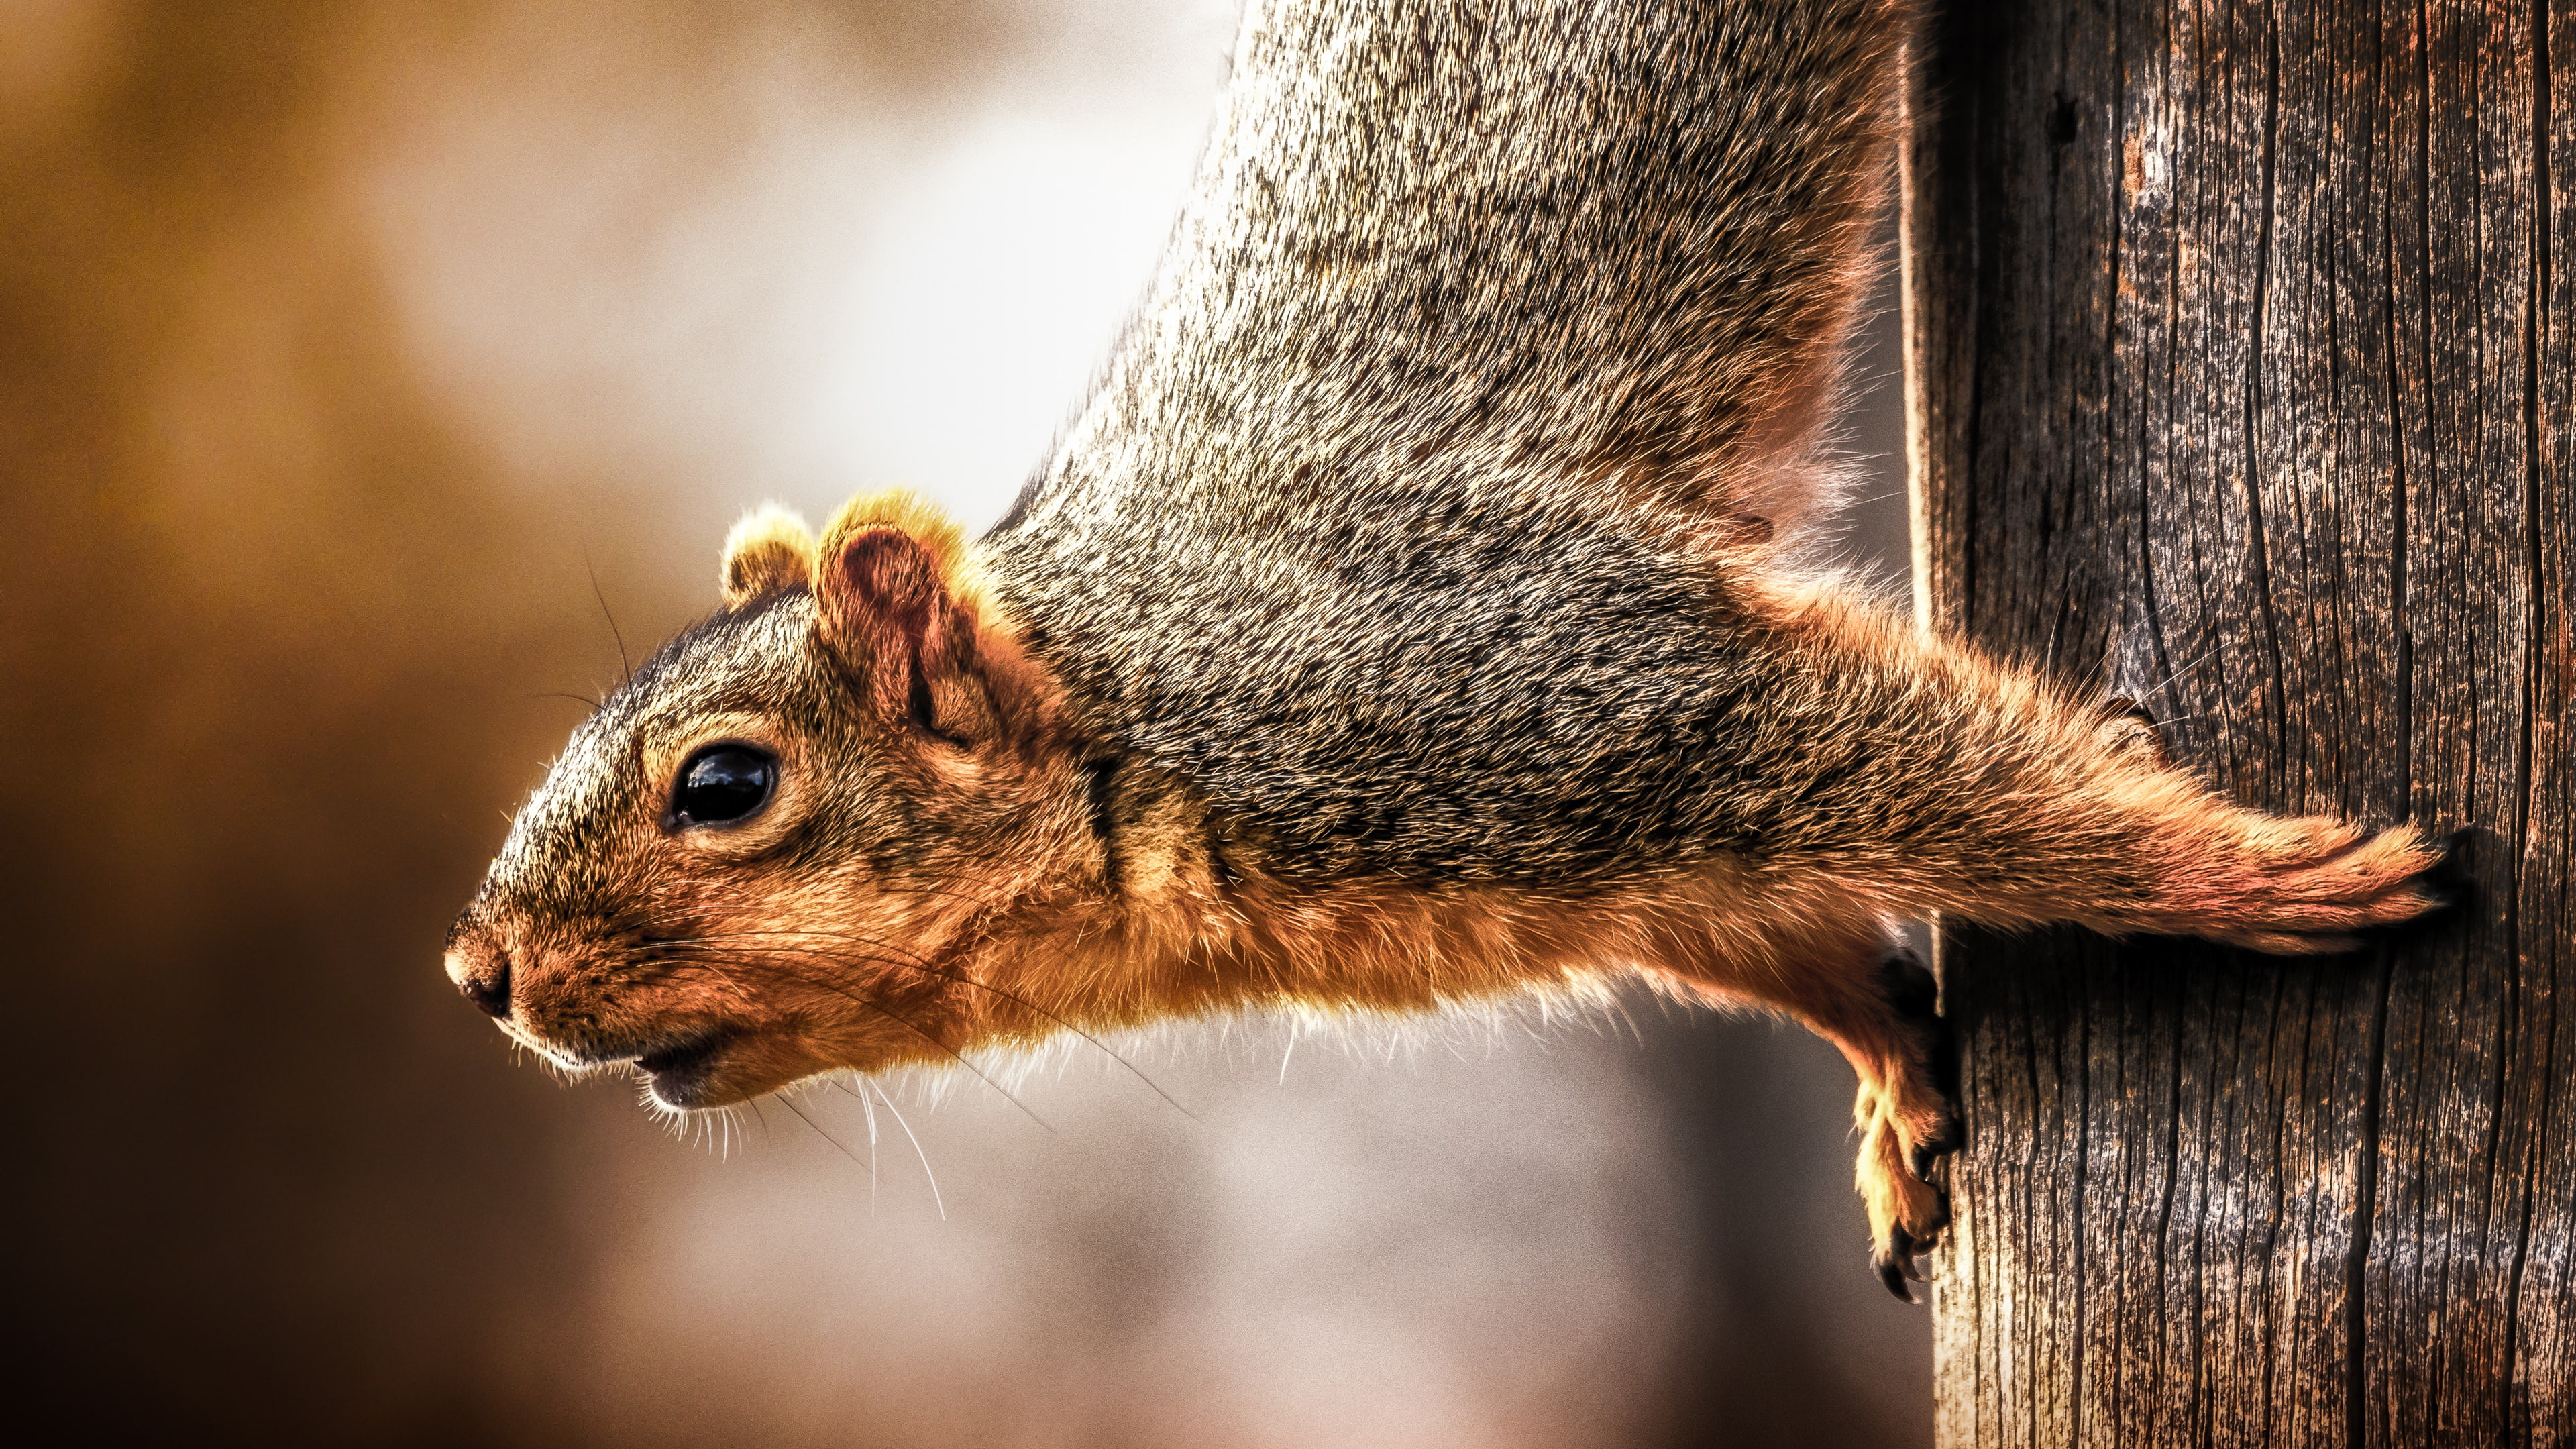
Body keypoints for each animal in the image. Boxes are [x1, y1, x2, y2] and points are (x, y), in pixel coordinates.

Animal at [444, 0, 2450, 1300]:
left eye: (724, 783)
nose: (478, 972)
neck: (1136, 708)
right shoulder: (1611, 858)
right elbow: (1785, 937)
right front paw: (1894, 1078)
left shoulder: (1536, 686)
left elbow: (1951, 770)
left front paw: (2258, 875)